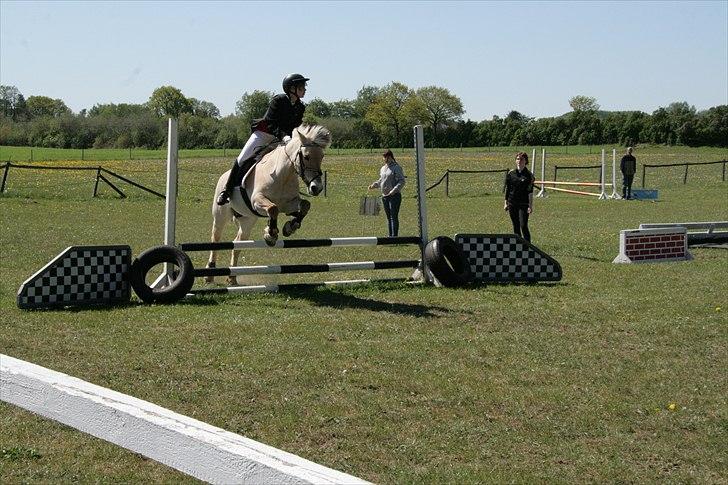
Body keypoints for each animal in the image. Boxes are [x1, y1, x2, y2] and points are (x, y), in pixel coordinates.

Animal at [208, 123, 332, 286]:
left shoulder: (288, 204)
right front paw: (271, 234)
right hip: (221, 215)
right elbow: (273, 209)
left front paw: (290, 227)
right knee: (215, 238)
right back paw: (210, 275)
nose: (316, 188)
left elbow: (304, 206)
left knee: (237, 244)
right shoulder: (257, 201)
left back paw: (232, 277)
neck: (283, 174)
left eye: (322, 156)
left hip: (248, 220)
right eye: (306, 156)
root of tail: (223, 176)